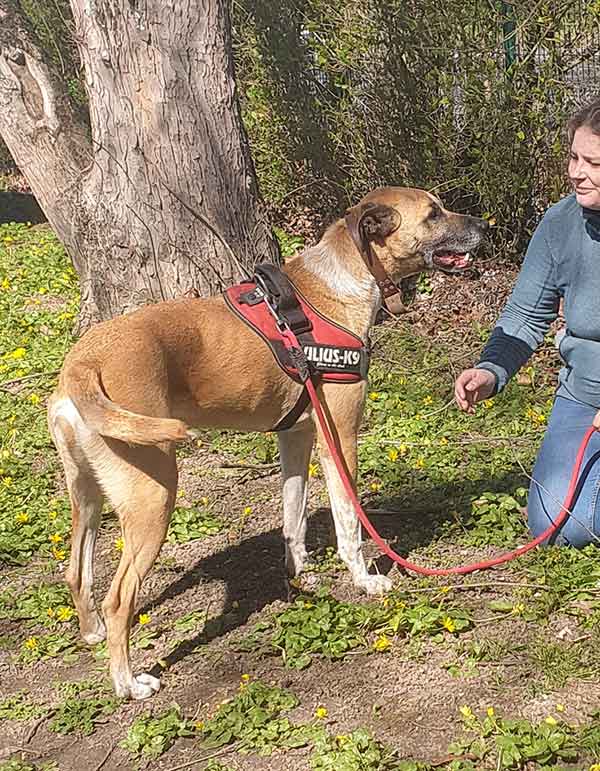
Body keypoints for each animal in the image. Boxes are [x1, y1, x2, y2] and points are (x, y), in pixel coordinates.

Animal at [48, 188, 488, 700]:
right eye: (433, 214)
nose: (484, 224)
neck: (341, 281)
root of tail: (83, 363)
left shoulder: (296, 438)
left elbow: (293, 516)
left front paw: (301, 574)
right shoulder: (340, 439)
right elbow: (349, 526)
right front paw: (364, 580)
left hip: (88, 496)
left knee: (76, 571)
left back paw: (92, 633)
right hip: (153, 496)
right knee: (119, 600)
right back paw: (129, 683)